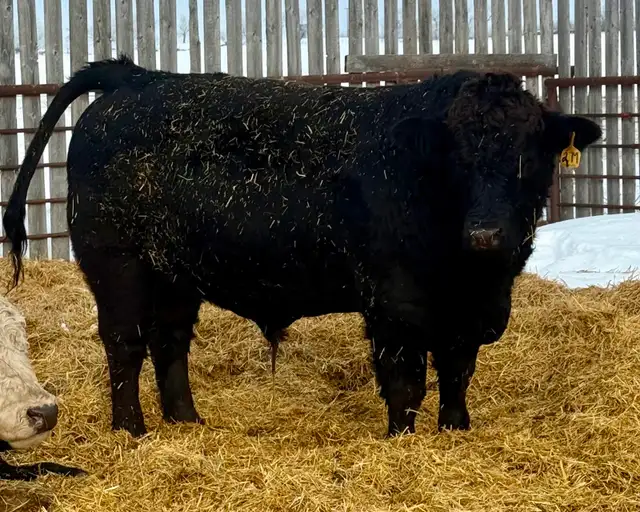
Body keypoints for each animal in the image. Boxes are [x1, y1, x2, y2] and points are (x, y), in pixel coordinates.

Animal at [2, 55, 602, 439]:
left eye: (530, 153)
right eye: (457, 156)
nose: (485, 235)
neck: (472, 276)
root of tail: (136, 77)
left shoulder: (471, 313)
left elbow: (457, 374)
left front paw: (456, 432)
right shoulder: (396, 306)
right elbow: (406, 383)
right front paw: (405, 442)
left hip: (175, 273)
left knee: (169, 342)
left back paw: (186, 421)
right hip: (117, 265)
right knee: (124, 344)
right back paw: (132, 431)